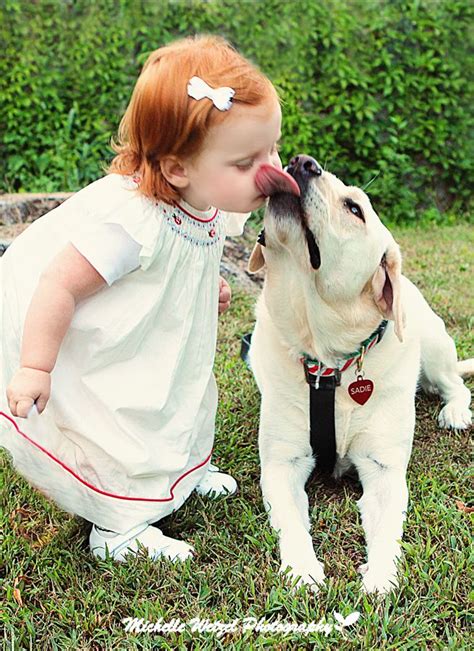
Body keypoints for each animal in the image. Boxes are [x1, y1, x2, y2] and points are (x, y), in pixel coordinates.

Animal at [248, 158, 470, 596]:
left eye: (354, 209)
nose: (302, 162)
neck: (329, 363)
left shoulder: (384, 469)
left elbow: (388, 532)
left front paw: (382, 575)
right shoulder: (282, 464)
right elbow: (291, 523)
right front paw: (302, 569)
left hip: (434, 344)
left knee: (456, 384)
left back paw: (455, 411)